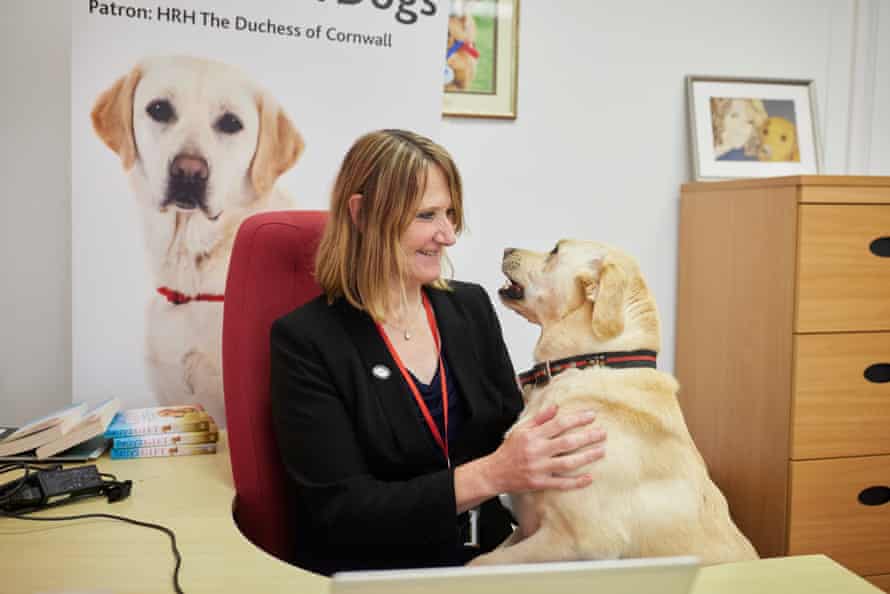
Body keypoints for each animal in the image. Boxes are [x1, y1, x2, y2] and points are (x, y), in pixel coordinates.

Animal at [472, 239, 756, 564]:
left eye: (555, 250)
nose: (506, 250)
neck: (593, 360)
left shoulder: (582, 541)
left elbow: (480, 562)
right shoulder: (526, 527)